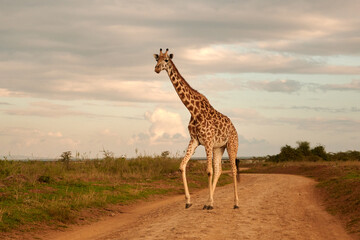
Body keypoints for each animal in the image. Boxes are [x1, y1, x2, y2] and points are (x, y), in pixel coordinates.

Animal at [154, 48, 240, 210]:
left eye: (166, 60)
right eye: (156, 59)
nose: (156, 69)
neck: (193, 110)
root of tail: (234, 128)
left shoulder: (207, 141)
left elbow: (208, 171)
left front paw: (210, 203)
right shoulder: (195, 140)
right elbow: (182, 166)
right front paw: (189, 201)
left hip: (232, 145)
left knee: (233, 169)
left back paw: (236, 203)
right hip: (219, 148)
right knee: (219, 170)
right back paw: (208, 201)